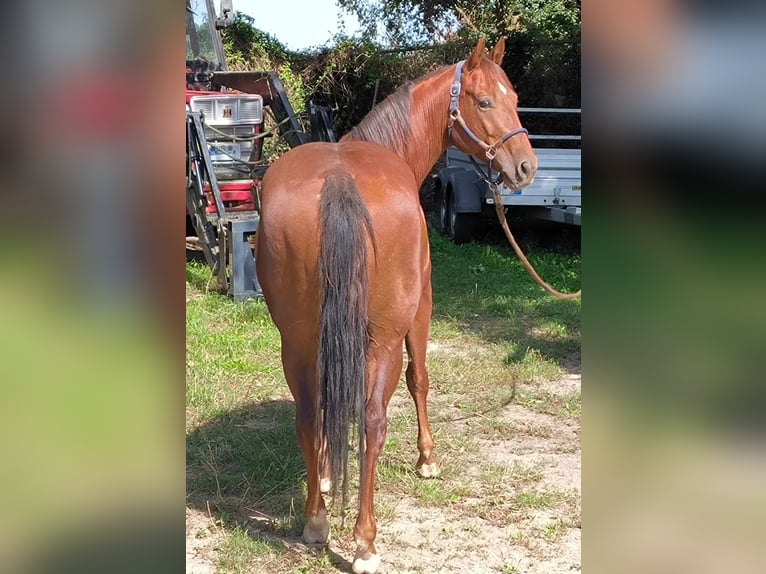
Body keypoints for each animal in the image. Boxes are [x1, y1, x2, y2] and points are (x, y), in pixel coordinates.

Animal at [255, 38, 536, 572]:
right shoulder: (421, 310)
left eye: (515, 98)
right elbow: (419, 379)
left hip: (296, 341)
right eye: (485, 101)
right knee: (373, 421)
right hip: (382, 339)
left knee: (311, 413)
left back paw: (317, 521)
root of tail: (339, 183)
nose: (526, 167)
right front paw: (428, 459)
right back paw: (365, 542)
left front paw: (326, 476)